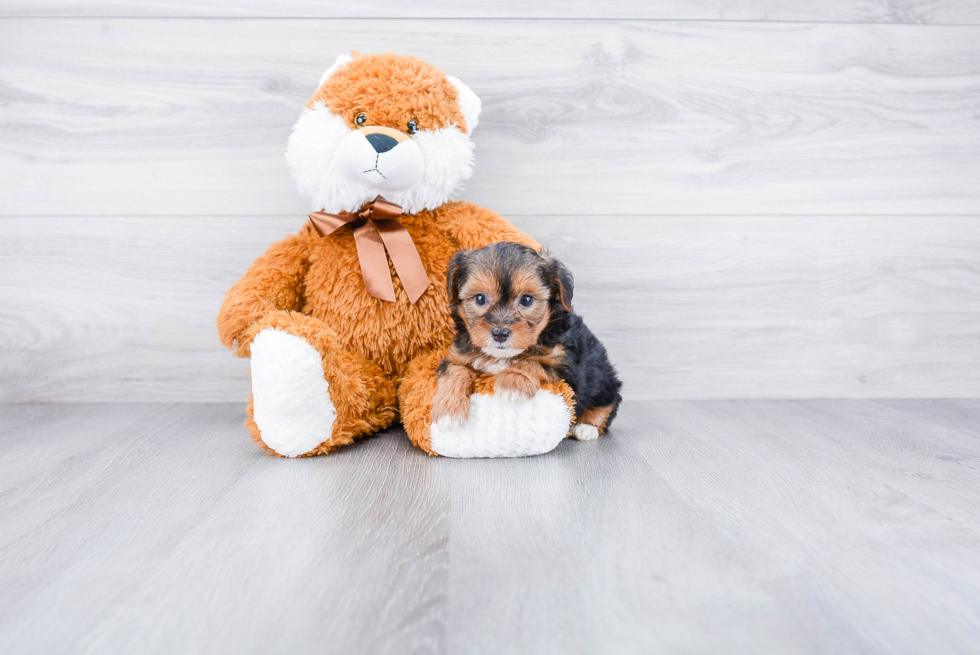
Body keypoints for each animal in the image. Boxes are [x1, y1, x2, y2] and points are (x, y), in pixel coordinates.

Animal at [434, 241, 624, 440]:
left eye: (526, 300)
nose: (500, 333)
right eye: (480, 298)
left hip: (602, 378)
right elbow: (455, 370)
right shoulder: (457, 355)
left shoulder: (564, 363)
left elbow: (534, 361)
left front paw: (512, 382)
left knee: (608, 402)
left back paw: (586, 427)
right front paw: (448, 409)